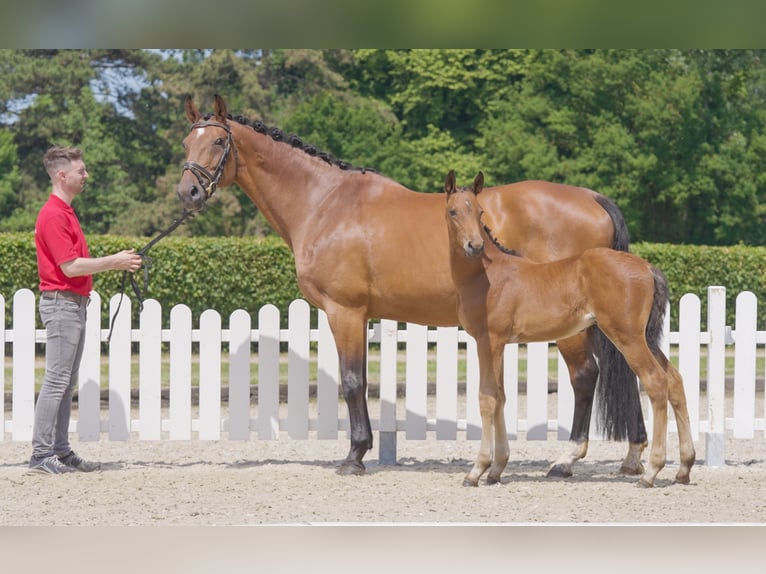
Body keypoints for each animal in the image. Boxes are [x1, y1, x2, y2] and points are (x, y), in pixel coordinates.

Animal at [178, 97, 648, 480]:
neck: (324, 202)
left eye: (218, 142)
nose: (189, 191)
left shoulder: (344, 310)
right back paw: (631, 456)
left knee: (586, 376)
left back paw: (567, 461)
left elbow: (352, 381)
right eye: (185, 143)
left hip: (576, 327)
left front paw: (355, 456)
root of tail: (592, 198)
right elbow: (361, 380)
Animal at [444, 172, 696, 490]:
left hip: (626, 337)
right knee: (674, 380)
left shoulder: (487, 341)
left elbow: (487, 398)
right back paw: (684, 467)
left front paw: (477, 470)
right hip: (645, 338)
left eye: (479, 212)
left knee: (655, 382)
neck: (489, 275)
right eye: (453, 211)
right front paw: (496, 469)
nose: (474, 246)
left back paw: (650, 471)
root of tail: (648, 268)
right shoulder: (498, 345)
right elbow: (500, 397)